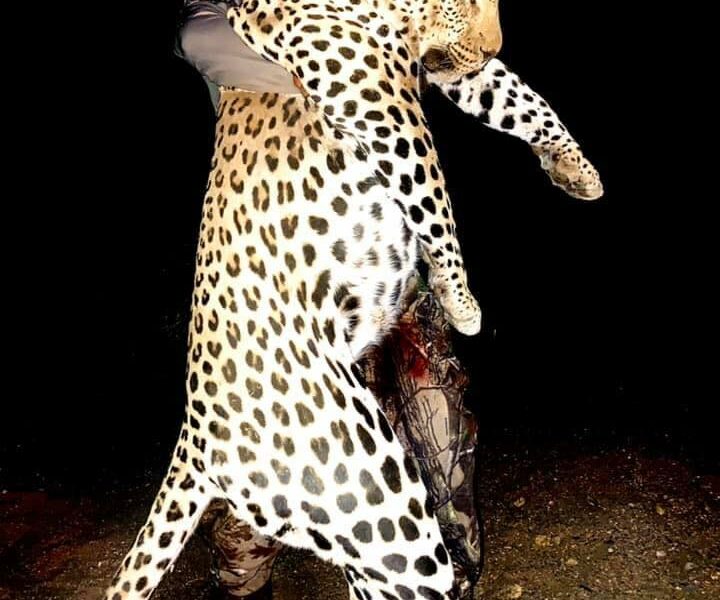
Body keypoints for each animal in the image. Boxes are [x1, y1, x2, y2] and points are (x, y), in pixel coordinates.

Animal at [106, 0, 602, 598]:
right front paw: (461, 300)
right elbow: (432, 190)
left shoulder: (432, 69)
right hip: (381, 504)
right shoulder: (378, 97)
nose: (492, 43)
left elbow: (519, 98)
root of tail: (196, 435)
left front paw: (577, 171)